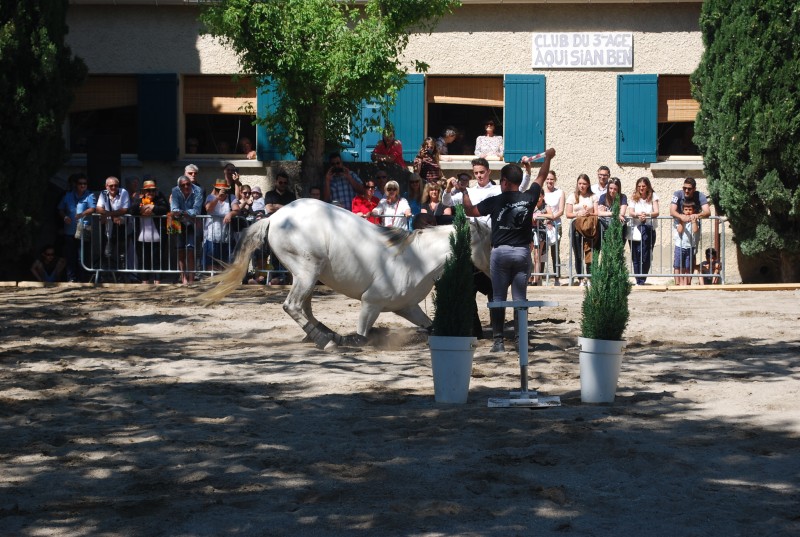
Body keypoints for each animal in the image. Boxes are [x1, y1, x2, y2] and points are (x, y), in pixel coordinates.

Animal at [200, 199, 490, 350]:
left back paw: (324, 335)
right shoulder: (371, 303)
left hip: (307, 275)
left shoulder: (407, 307)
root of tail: (274, 216)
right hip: (307, 271)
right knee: (293, 306)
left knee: (304, 308)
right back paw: (326, 341)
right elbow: (362, 336)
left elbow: (430, 327)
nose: (490, 281)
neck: (418, 260)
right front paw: (351, 339)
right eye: (489, 244)